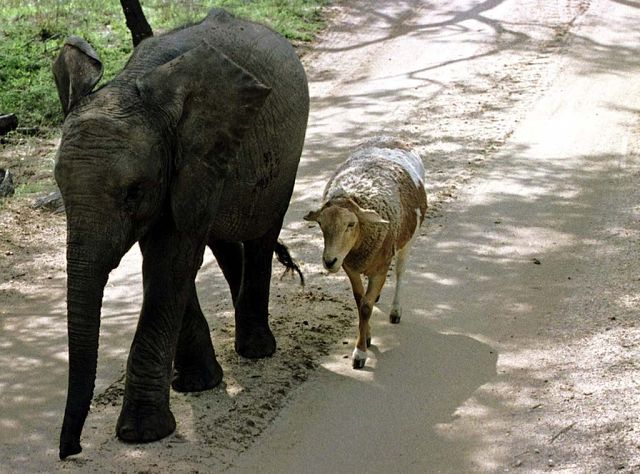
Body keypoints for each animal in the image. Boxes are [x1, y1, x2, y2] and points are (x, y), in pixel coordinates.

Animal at [53, 8, 308, 460]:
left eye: (133, 191)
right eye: (58, 187)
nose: (72, 450)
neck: (131, 83)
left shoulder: (191, 156)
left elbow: (169, 263)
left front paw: (141, 433)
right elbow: (168, 263)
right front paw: (198, 384)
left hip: (283, 159)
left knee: (261, 234)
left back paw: (256, 350)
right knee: (223, 239)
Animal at [304, 135, 428, 368]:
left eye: (351, 224)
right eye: (321, 224)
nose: (329, 261)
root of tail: (391, 137)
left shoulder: (381, 268)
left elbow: (365, 308)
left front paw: (360, 353)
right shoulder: (350, 267)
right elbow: (360, 301)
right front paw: (366, 336)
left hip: (408, 241)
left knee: (400, 273)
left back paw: (395, 310)